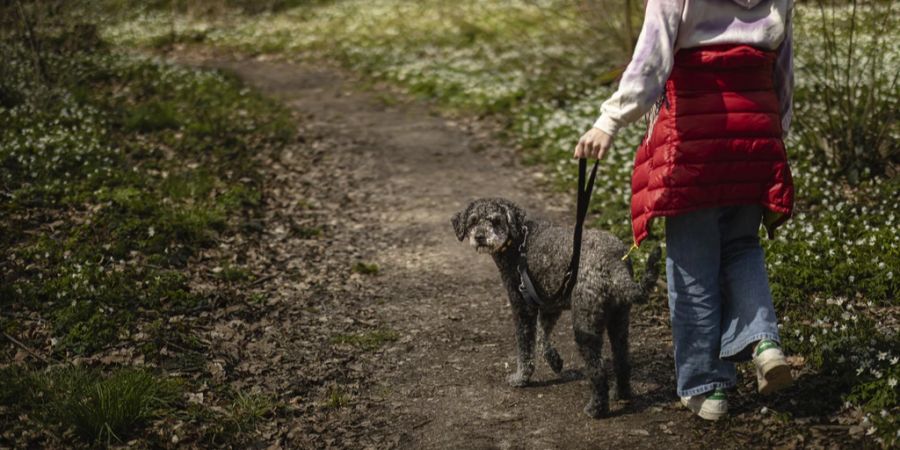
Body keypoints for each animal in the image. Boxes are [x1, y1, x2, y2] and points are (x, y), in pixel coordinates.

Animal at [450, 198, 660, 418]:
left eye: (496, 220)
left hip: (585, 325)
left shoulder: (522, 308)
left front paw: (521, 378)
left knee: (598, 369)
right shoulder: (550, 305)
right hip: (619, 320)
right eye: (473, 221)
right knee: (622, 360)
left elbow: (526, 349)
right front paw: (555, 361)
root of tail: (614, 263)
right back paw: (621, 393)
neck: (518, 242)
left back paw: (596, 409)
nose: (480, 236)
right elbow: (543, 337)